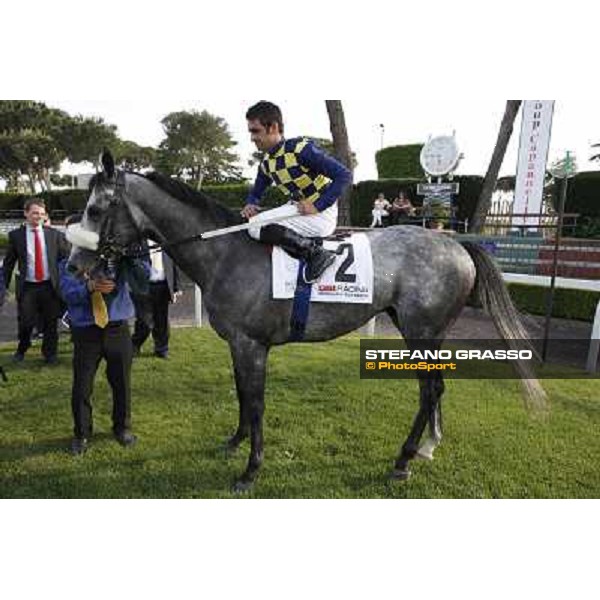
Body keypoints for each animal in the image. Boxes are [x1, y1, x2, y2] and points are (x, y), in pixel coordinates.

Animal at [68, 152, 548, 490]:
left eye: (95, 210)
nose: (75, 265)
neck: (226, 253)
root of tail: (456, 243)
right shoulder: (238, 345)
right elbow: (242, 396)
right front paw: (234, 443)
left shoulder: (252, 345)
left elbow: (256, 402)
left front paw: (250, 470)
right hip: (427, 334)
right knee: (435, 389)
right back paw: (428, 447)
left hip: (421, 332)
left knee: (429, 390)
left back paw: (403, 460)